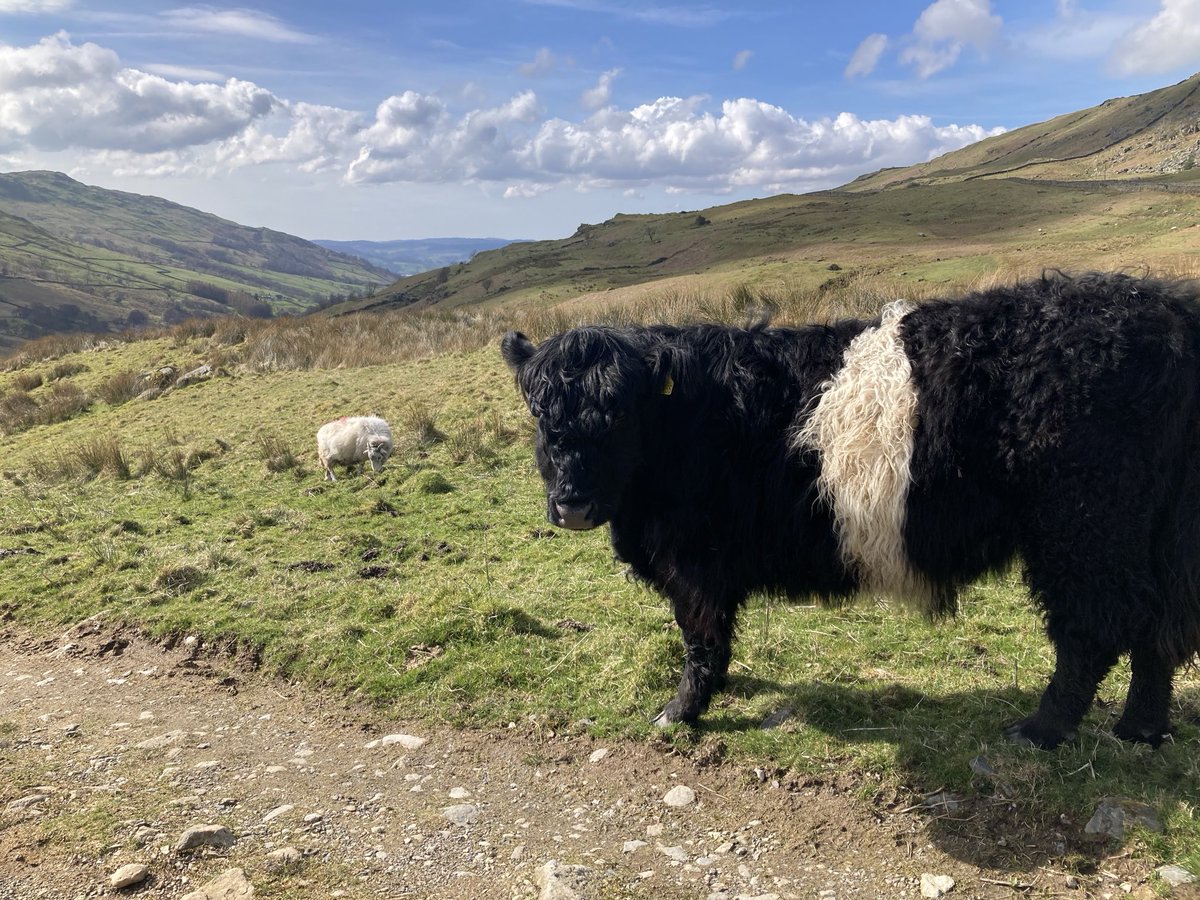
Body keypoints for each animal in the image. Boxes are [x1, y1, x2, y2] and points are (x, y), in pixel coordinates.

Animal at [501, 271, 1200, 748]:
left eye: (618, 415)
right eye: (538, 413)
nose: (572, 505)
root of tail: (1161, 308)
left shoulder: (693, 561)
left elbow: (701, 637)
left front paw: (680, 712)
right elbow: (714, 638)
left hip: (1081, 529)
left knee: (1095, 628)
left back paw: (1040, 729)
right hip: (1154, 533)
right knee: (1157, 627)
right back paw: (1140, 729)